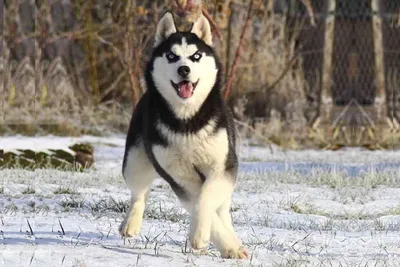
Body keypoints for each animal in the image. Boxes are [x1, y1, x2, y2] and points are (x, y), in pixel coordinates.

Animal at [119, 11, 247, 260]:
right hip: (134, 160)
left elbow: (205, 198)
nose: (184, 69)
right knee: (139, 192)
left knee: (222, 208)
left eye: (196, 56)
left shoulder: (223, 166)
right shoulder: (176, 175)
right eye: (171, 56)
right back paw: (131, 223)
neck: (187, 121)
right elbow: (197, 199)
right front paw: (207, 238)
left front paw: (219, 242)